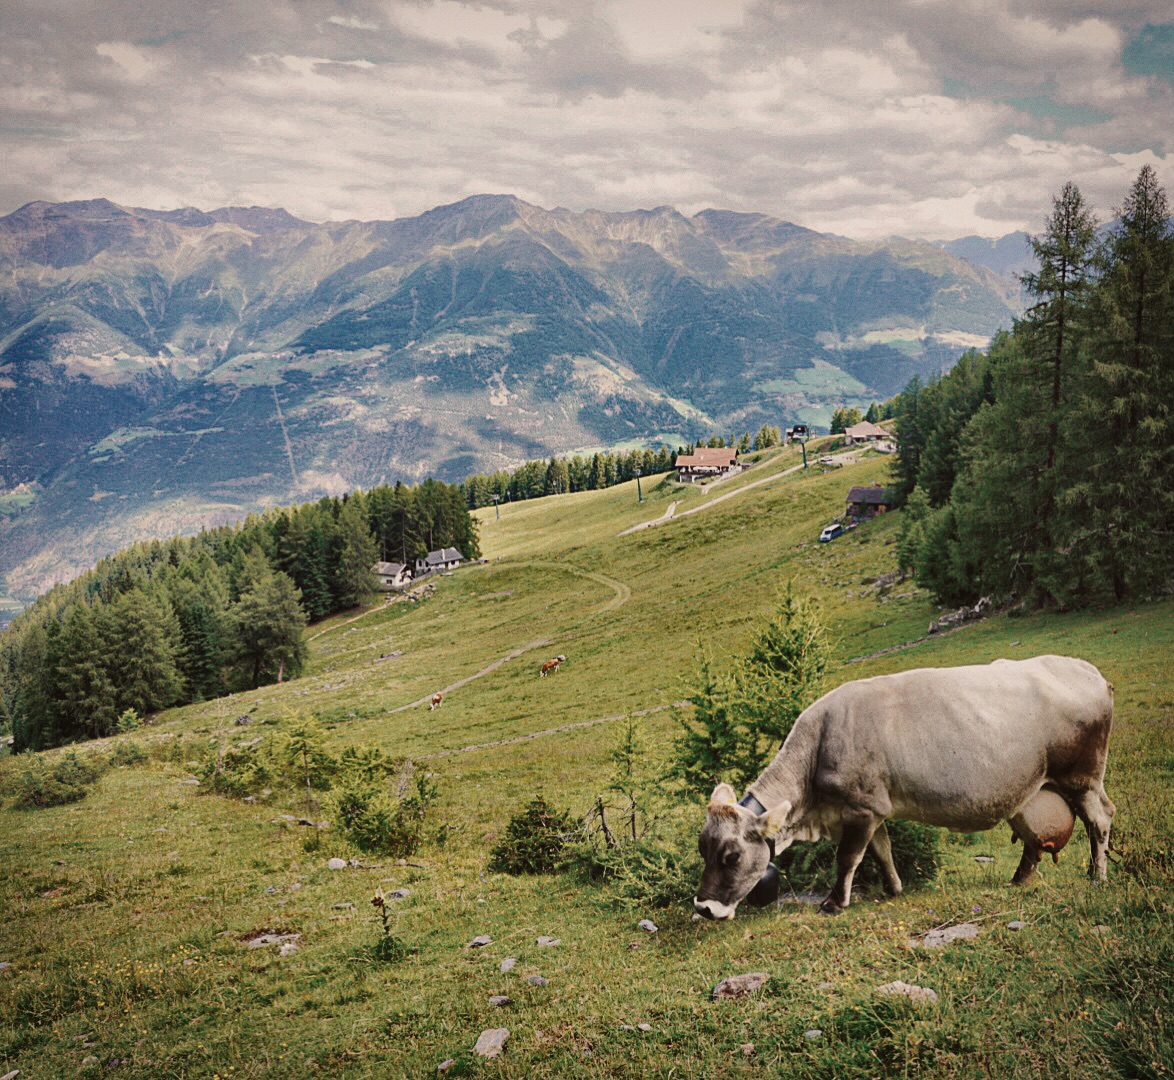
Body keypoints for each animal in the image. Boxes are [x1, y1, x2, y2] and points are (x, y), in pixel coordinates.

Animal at [690, 648, 1112, 920]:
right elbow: (882, 851)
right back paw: (1019, 879)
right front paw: (893, 889)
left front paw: (834, 903)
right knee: (1033, 839)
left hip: (1084, 777)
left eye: (731, 856)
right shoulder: (873, 808)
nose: (704, 908)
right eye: (702, 848)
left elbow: (849, 857)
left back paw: (1097, 876)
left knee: (1100, 820)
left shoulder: (860, 807)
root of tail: (1086, 670)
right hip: (1034, 789)